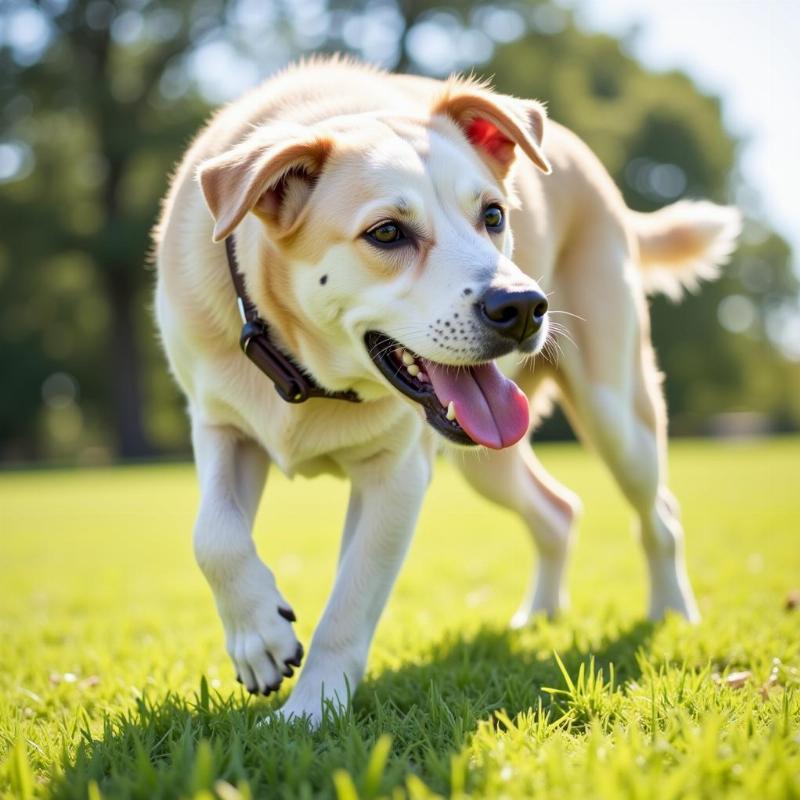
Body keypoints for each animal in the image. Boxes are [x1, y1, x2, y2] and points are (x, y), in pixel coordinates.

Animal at [153, 54, 740, 720]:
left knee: (660, 513)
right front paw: (259, 639)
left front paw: (308, 715)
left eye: (494, 216)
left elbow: (347, 606)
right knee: (558, 509)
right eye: (386, 233)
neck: (313, 376)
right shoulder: (220, 424)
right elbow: (214, 535)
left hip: (616, 411)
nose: (523, 307)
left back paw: (671, 612)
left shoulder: (397, 476)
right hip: (487, 459)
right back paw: (539, 617)